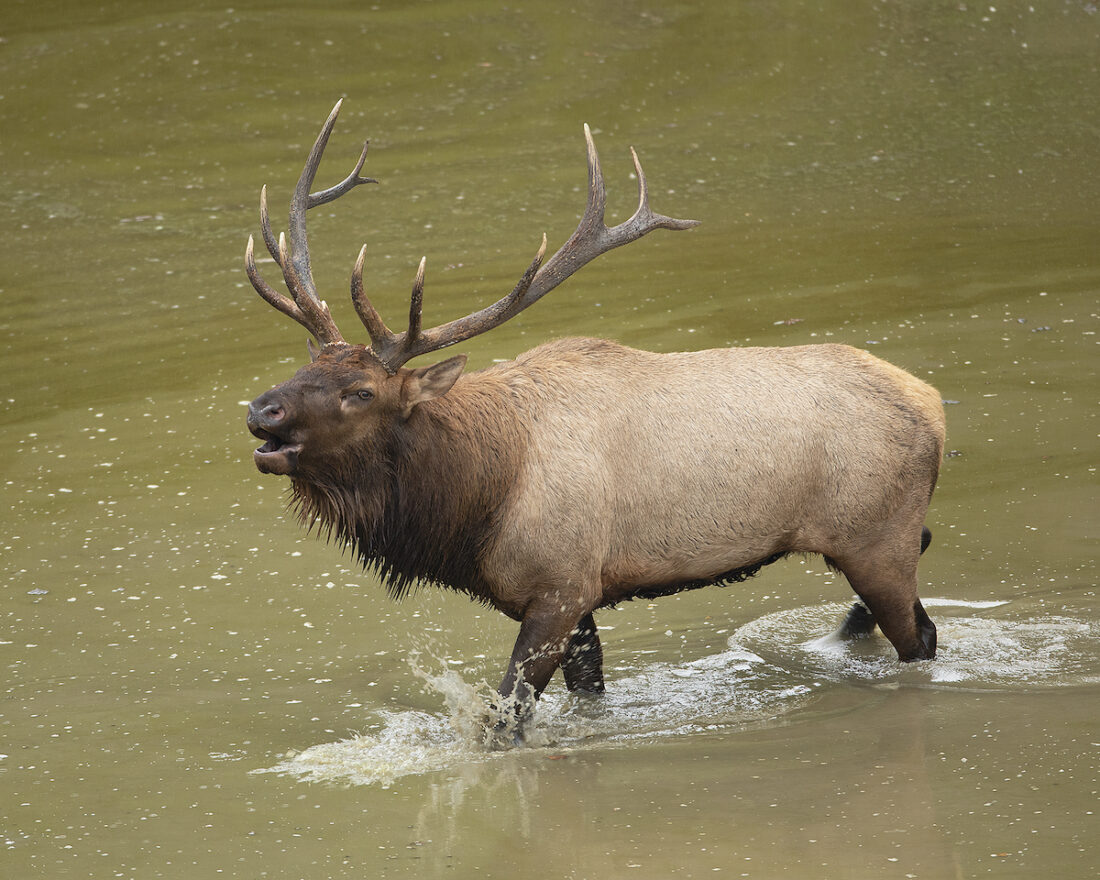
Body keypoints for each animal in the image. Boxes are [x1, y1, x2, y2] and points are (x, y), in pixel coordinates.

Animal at [244, 101, 944, 741]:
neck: (479, 498)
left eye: (361, 391)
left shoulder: (559, 587)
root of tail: (934, 404)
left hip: (874, 537)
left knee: (923, 635)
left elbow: (506, 716)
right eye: (306, 365)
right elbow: (586, 693)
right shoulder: (577, 596)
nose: (260, 409)